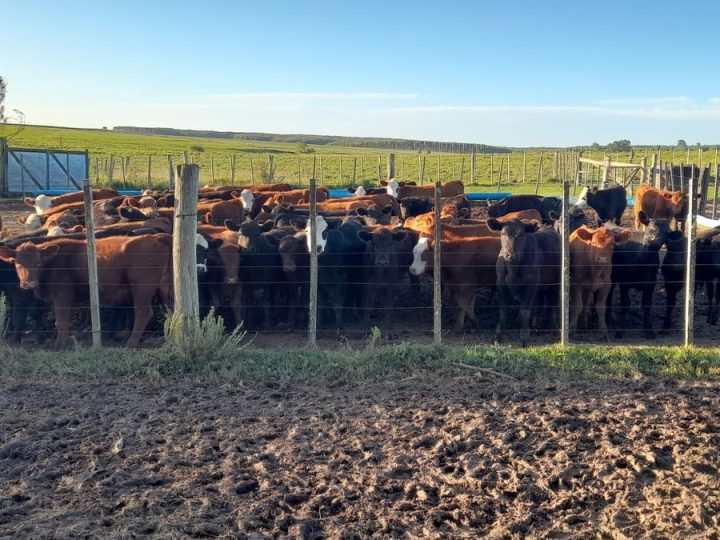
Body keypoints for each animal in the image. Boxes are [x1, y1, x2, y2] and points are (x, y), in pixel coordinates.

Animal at [0, 234, 173, 348]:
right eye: (17, 263)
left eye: (38, 262)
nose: (28, 283)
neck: (53, 263)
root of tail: (155, 237)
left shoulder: (62, 296)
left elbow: (61, 321)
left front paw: (59, 345)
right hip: (164, 288)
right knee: (169, 311)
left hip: (141, 289)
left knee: (143, 313)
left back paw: (130, 343)